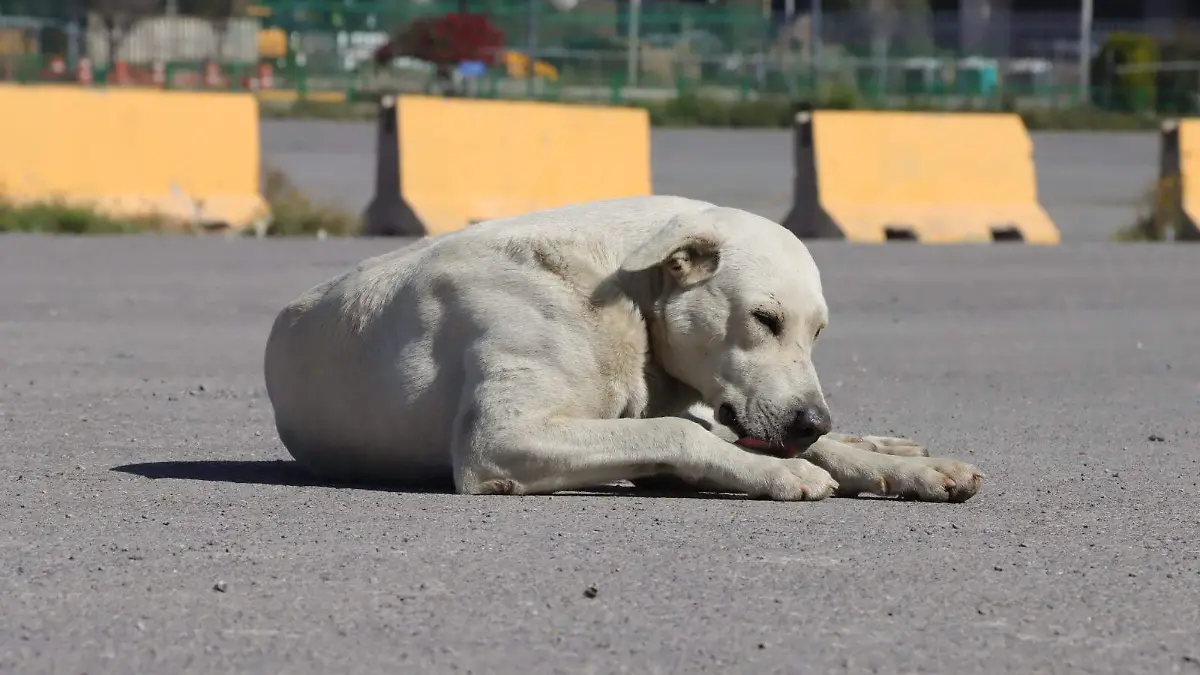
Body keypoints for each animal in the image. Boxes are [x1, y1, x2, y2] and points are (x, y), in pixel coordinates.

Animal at [265, 194, 984, 499]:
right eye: (764, 318)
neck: (620, 292)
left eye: (819, 332)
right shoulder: (499, 442)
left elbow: (720, 435)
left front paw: (906, 468)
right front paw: (783, 473)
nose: (813, 420)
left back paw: (893, 449)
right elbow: (681, 436)